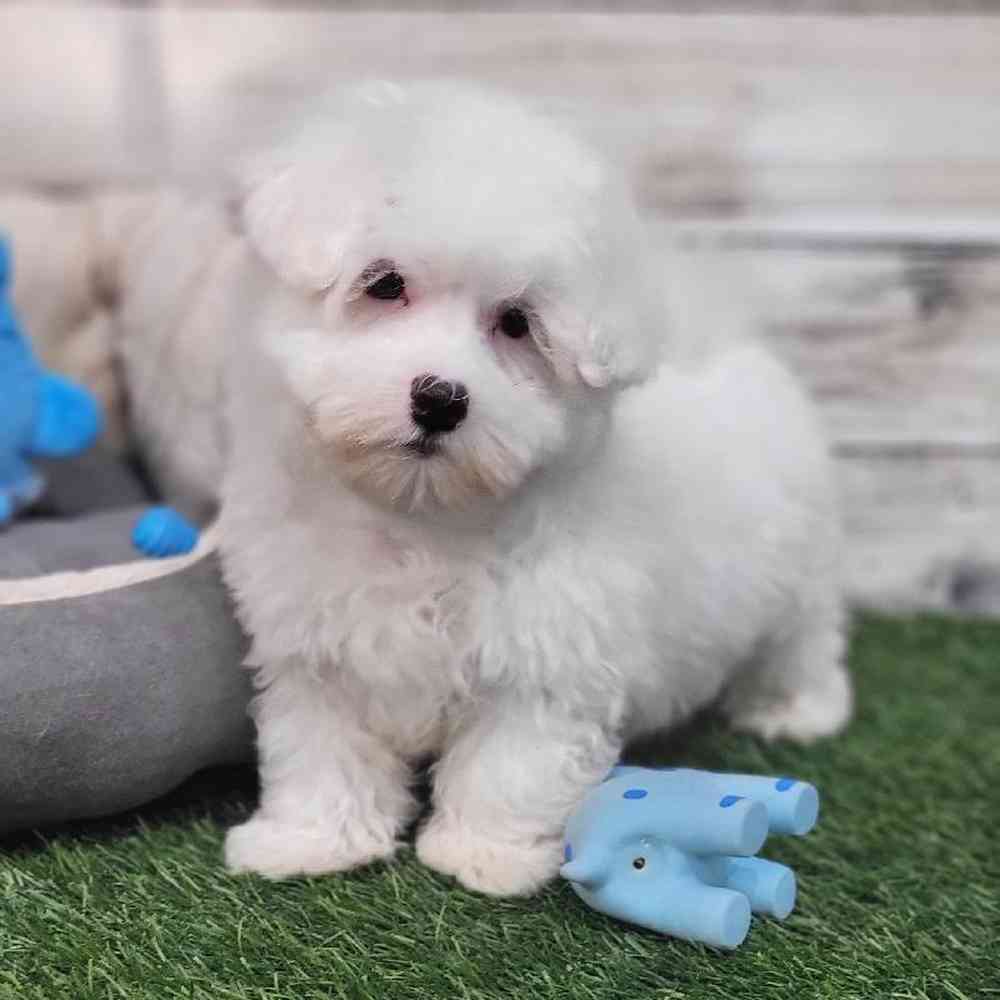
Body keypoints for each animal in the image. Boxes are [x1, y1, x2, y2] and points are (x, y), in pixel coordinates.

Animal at [215, 84, 848, 900]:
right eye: (383, 283)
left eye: (516, 323)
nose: (440, 399)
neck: (422, 518)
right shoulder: (314, 645)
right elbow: (321, 747)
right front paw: (310, 840)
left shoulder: (550, 653)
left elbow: (510, 761)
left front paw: (485, 854)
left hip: (796, 577)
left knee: (804, 640)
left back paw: (798, 709)